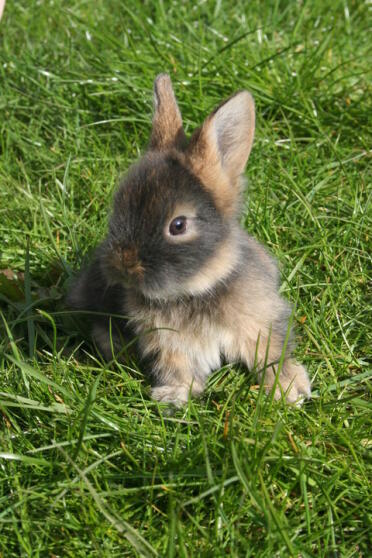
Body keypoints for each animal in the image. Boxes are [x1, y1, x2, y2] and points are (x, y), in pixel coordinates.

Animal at [67, 73, 310, 406]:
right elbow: (178, 368)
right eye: (119, 208)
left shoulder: (259, 322)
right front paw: (173, 397)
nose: (122, 267)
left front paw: (290, 388)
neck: (196, 289)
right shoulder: (168, 344)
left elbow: (270, 352)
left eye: (178, 225)